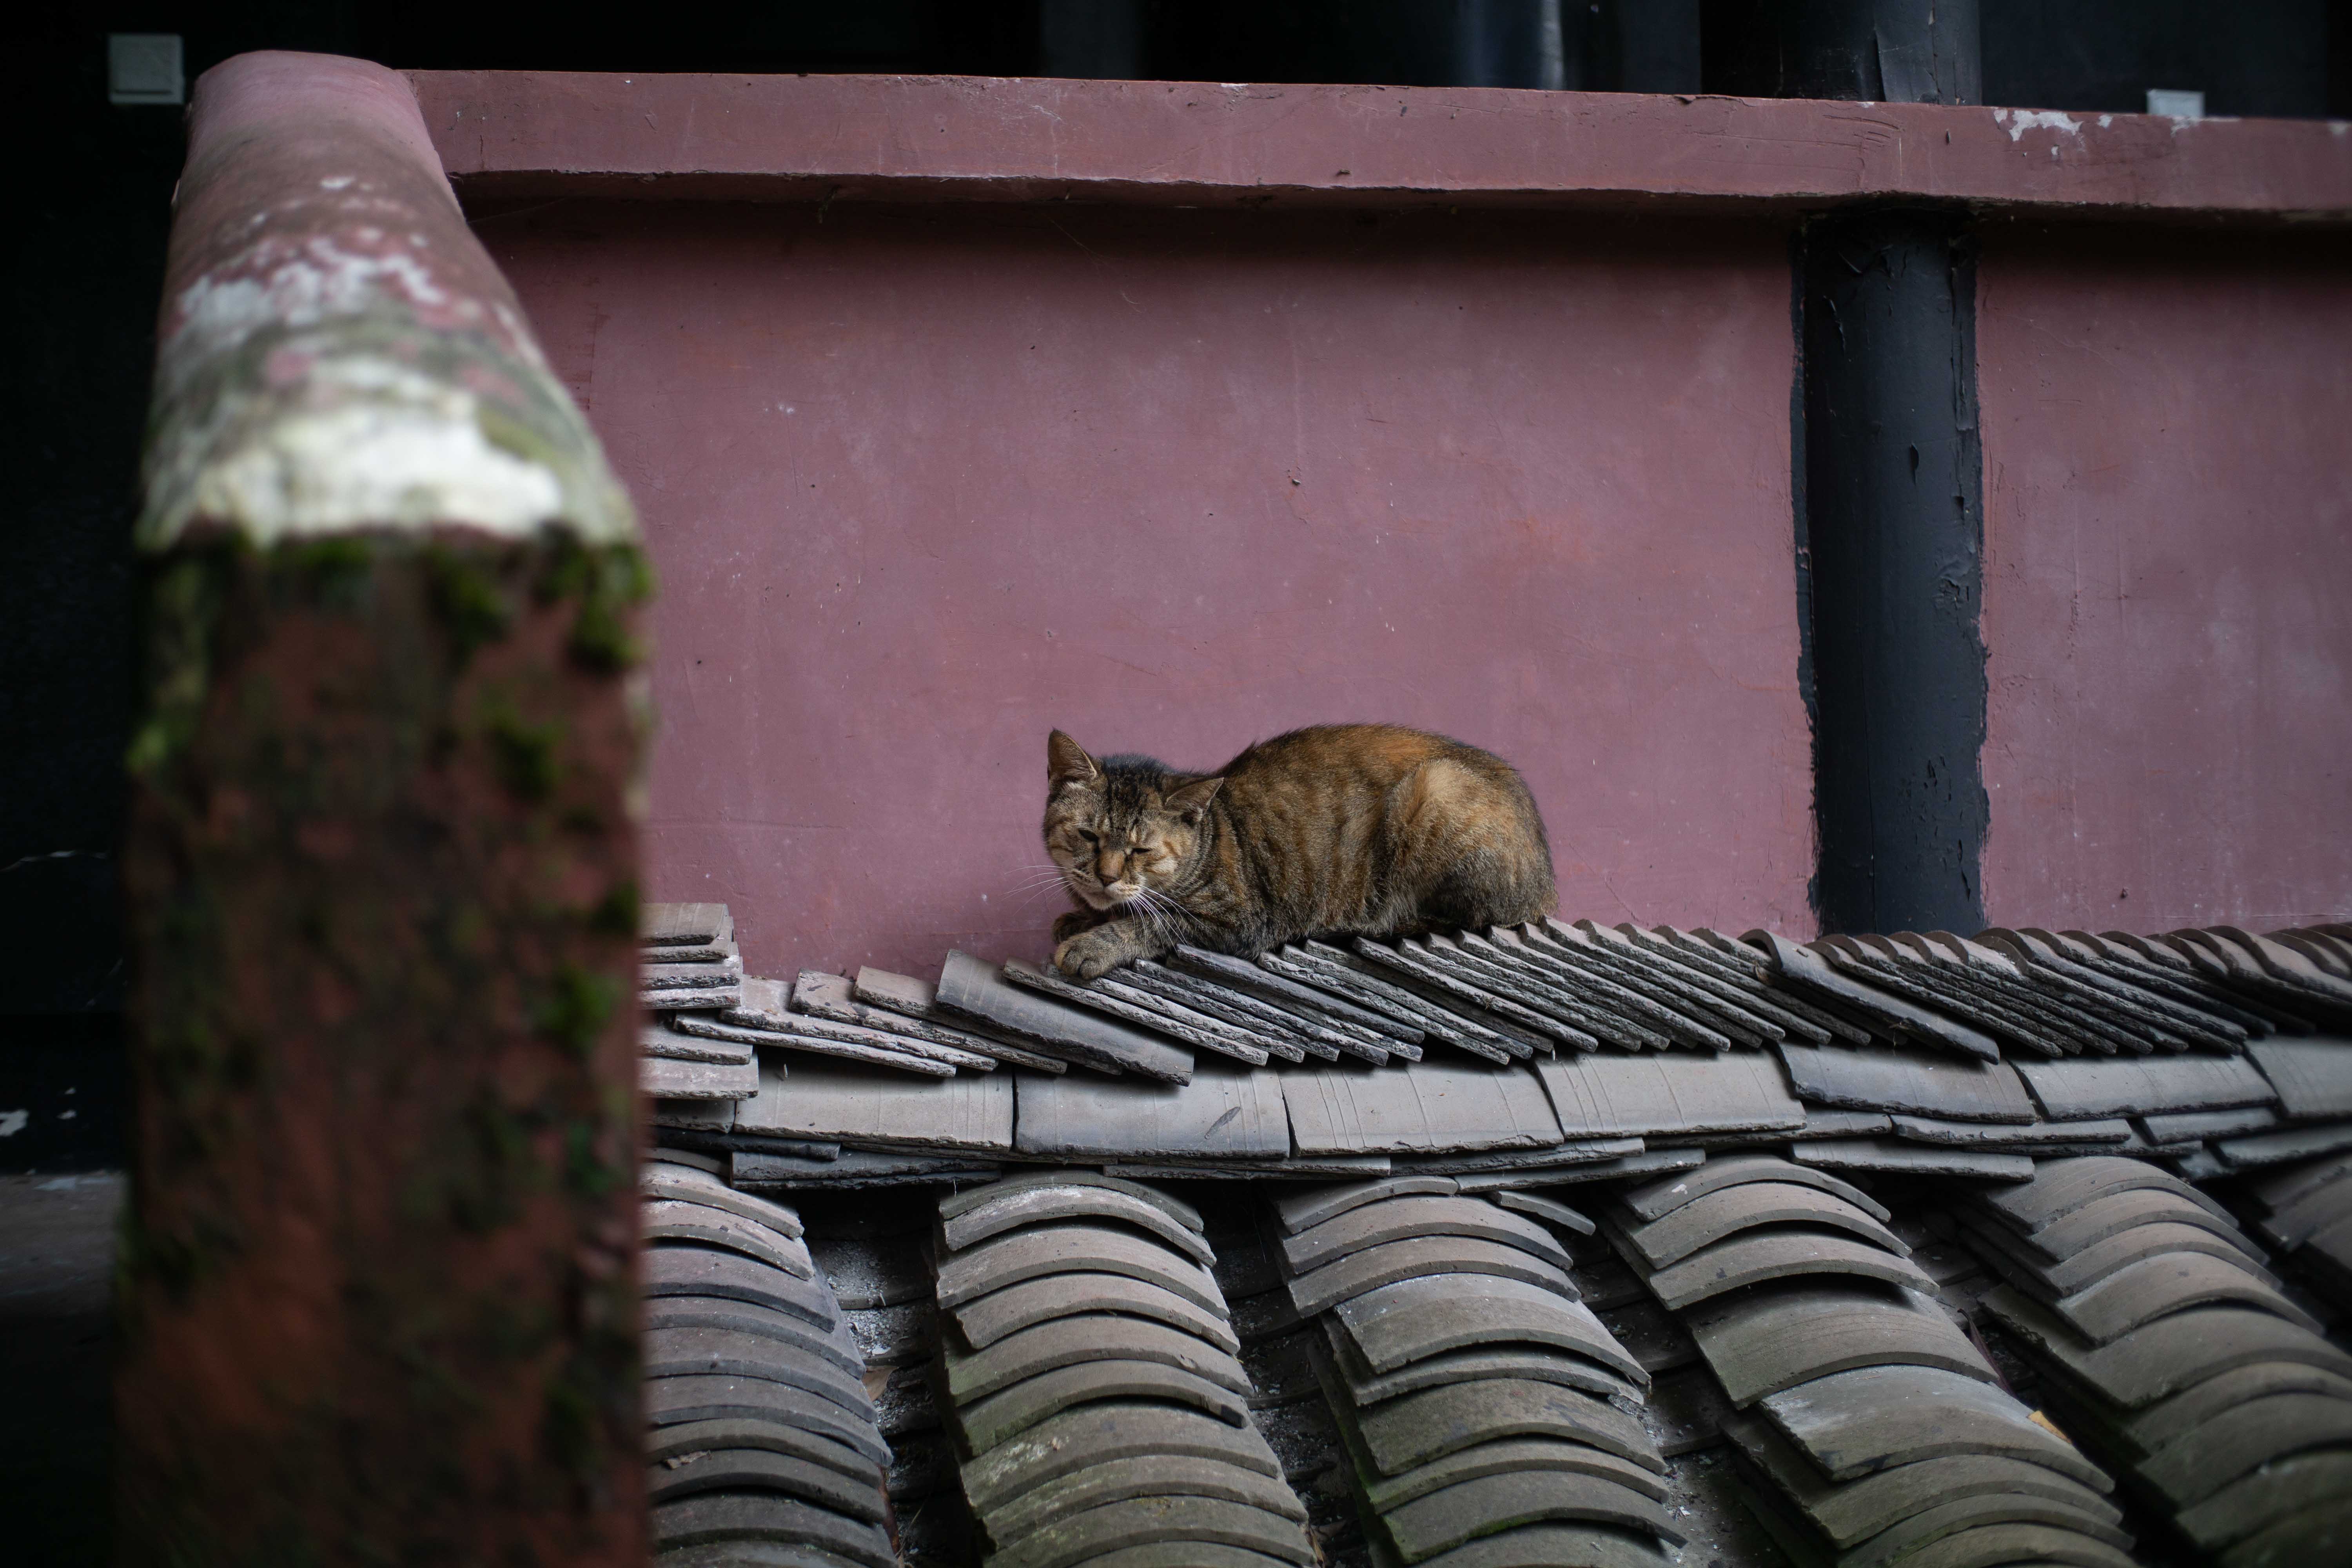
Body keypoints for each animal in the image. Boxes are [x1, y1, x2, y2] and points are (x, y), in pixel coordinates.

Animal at [1040, 724, 1552, 982]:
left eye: (1141, 849)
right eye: (1088, 836)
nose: (1106, 876)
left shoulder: (1239, 919)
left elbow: (1152, 922)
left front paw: (1092, 942)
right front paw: (1081, 917)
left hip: (1437, 787)